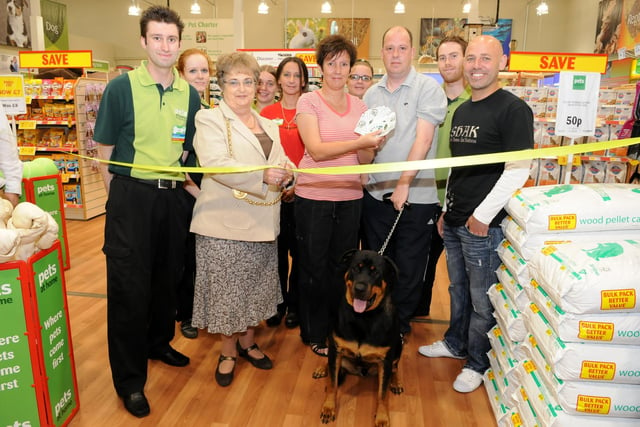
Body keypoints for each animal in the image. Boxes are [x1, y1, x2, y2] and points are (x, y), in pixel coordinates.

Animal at [312, 249, 402, 426]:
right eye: (355, 268)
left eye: (376, 272)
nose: (359, 288)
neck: (363, 318)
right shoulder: (336, 350)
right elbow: (332, 385)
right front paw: (329, 408)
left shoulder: (385, 360)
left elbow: (382, 394)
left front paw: (382, 416)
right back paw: (322, 369)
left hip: (399, 345)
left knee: (395, 367)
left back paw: (395, 382)